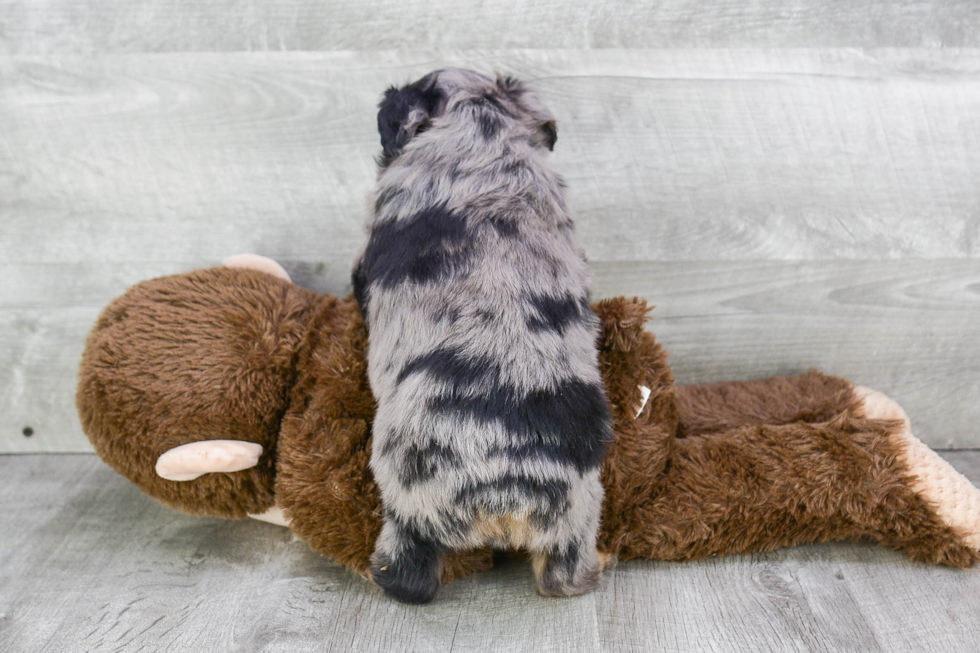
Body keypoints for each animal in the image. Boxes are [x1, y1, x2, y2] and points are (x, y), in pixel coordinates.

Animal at [352, 66, 612, 600]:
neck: (481, 136)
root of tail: (506, 494)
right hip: (577, 518)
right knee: (566, 576)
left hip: (406, 505)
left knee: (407, 577)